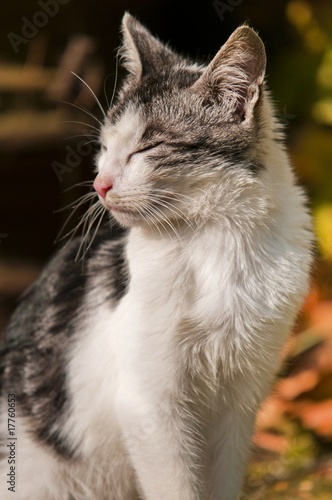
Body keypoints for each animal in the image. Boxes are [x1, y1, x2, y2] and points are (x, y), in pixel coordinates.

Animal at [0, 11, 312, 500]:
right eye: (105, 148)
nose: (99, 184)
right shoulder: (149, 404)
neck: (216, 238)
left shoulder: (240, 401)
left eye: (148, 148)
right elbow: (176, 486)